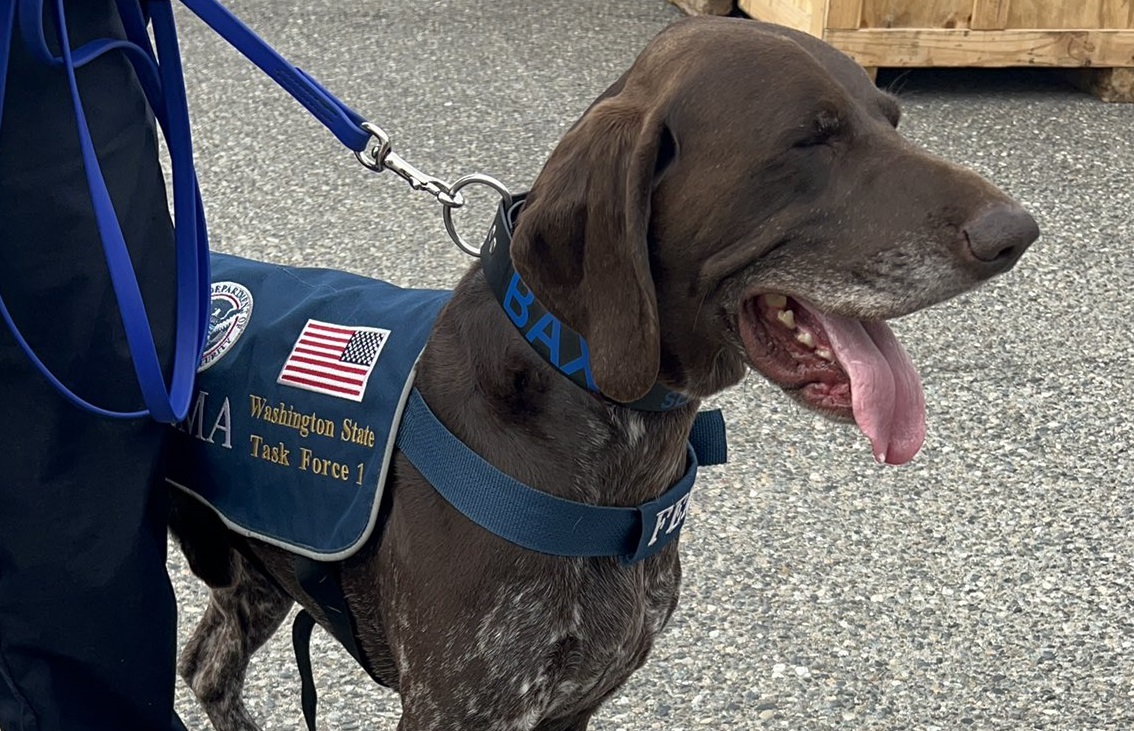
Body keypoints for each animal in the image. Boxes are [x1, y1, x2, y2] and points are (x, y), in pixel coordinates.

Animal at [167, 17, 1038, 729]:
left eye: (892, 122)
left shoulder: (572, 704)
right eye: (810, 139)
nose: (1018, 232)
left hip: (254, 575)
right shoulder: (458, 708)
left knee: (206, 664)